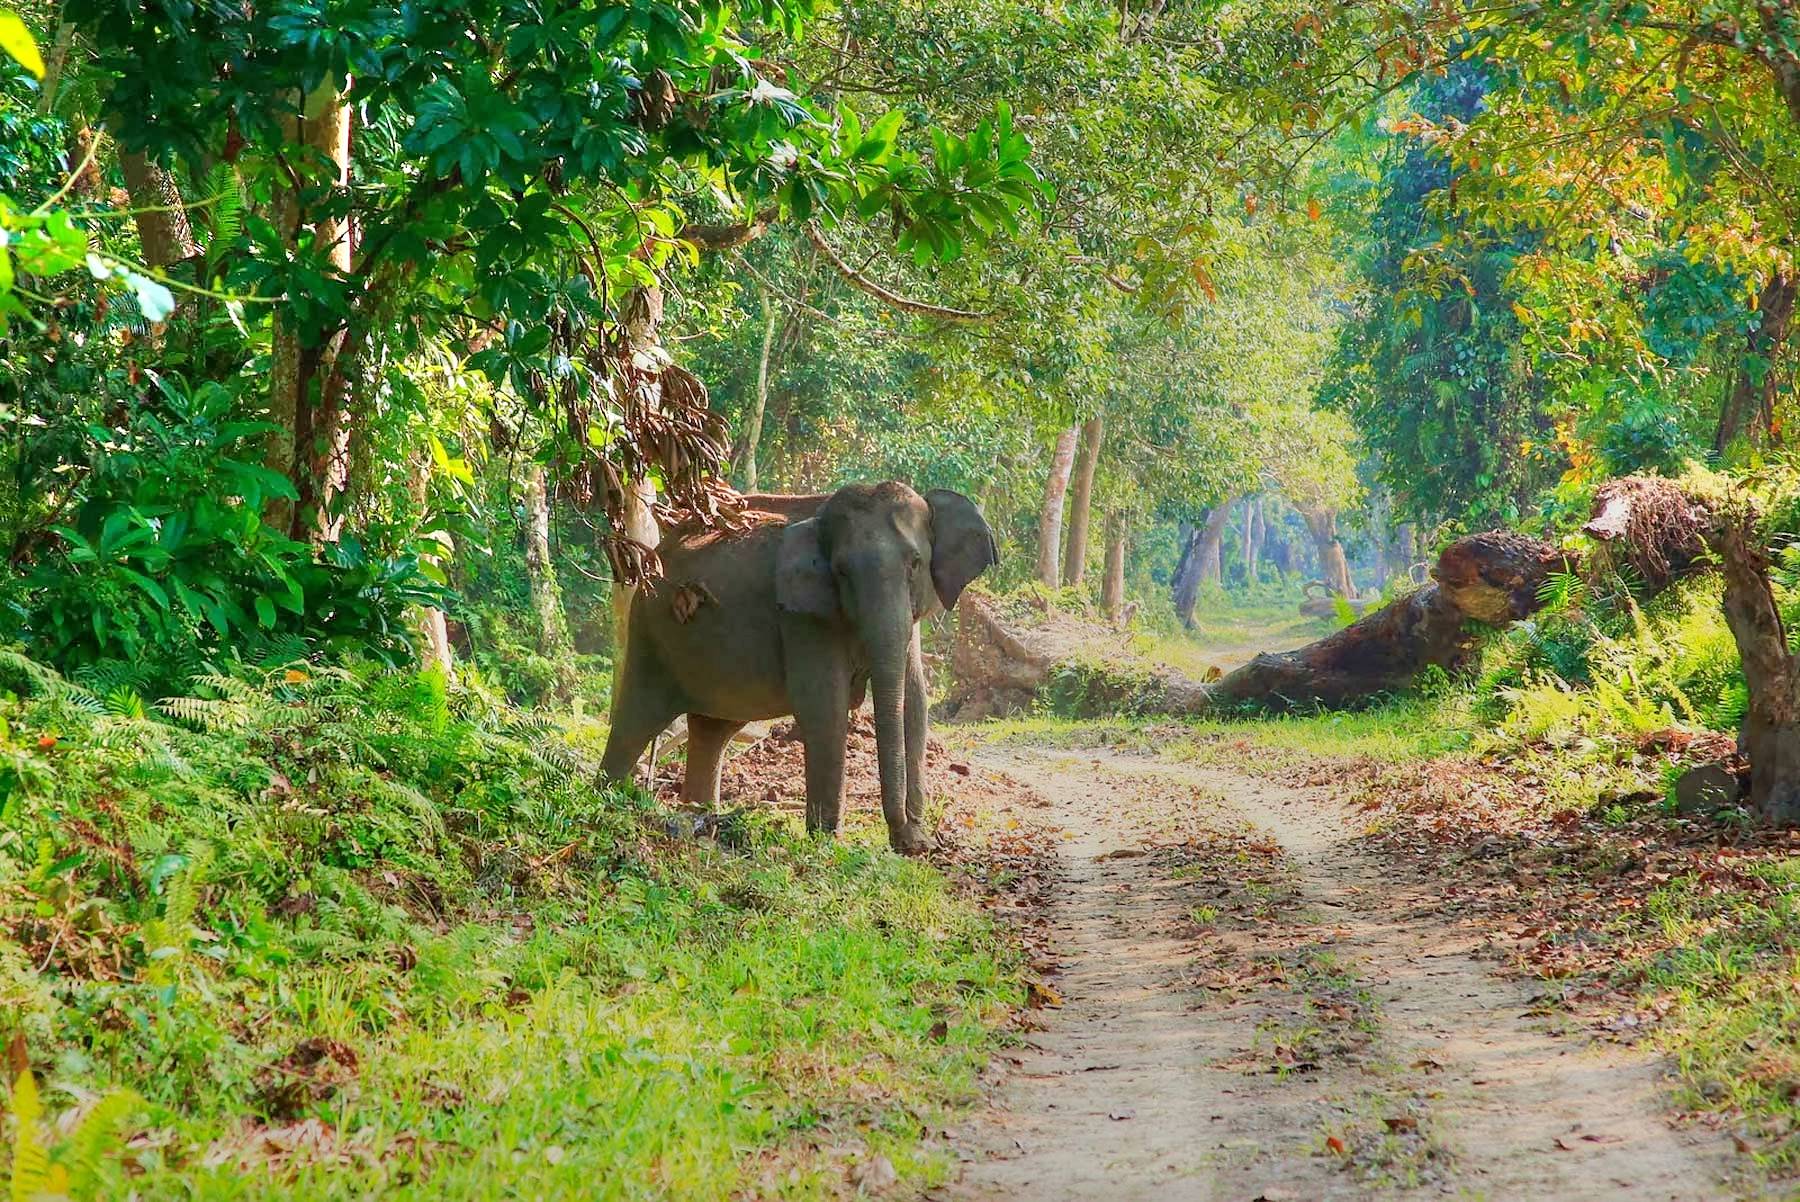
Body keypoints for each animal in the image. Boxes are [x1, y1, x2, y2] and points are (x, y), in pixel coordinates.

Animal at [604, 482, 1000, 852]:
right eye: (841, 572)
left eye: (915, 563)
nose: (903, 837)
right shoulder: (802, 616)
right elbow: (825, 705)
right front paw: (827, 844)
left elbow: (914, 703)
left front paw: (917, 844)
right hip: (649, 629)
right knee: (637, 717)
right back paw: (610, 806)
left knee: (712, 729)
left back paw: (699, 827)